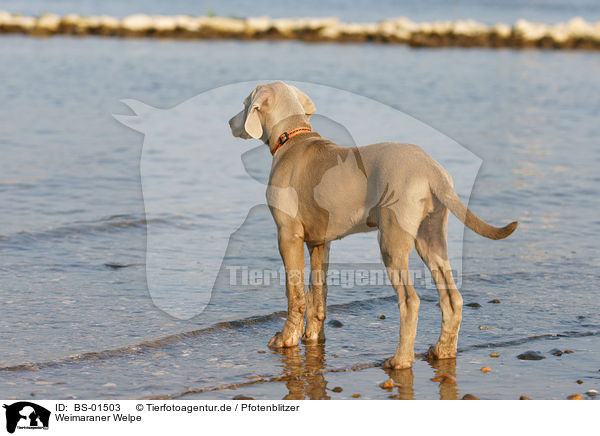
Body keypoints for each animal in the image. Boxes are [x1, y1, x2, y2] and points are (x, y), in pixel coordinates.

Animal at [227, 81, 516, 368]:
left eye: (244, 104)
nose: (229, 122)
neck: (293, 138)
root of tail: (432, 170)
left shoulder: (288, 235)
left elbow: (294, 293)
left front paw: (285, 339)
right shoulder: (320, 242)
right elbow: (317, 294)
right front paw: (313, 337)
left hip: (391, 241)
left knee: (410, 301)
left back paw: (400, 360)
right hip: (430, 237)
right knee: (452, 298)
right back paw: (442, 351)